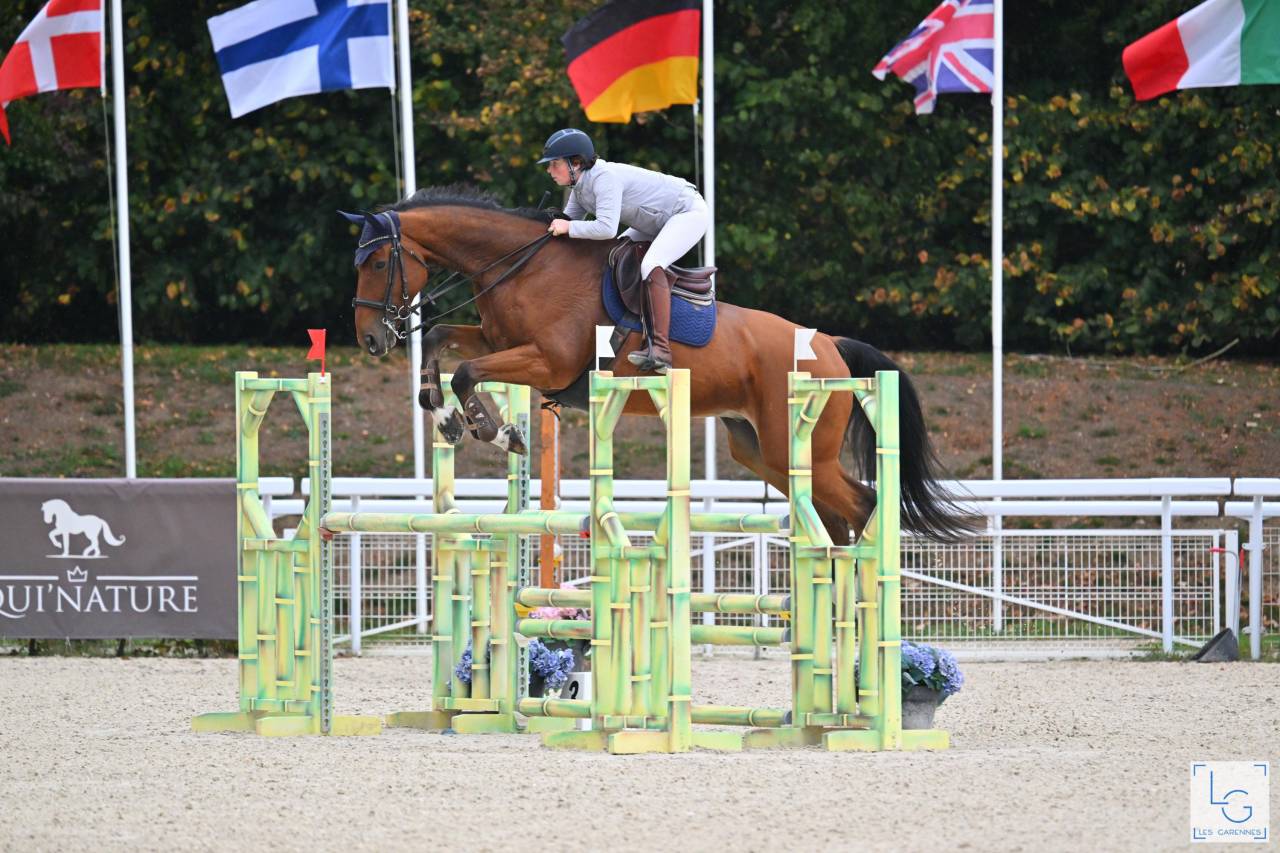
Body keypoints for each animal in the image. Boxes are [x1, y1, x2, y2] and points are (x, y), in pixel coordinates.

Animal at [344, 186, 971, 545]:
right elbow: (443, 341)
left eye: (376, 263)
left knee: (863, 504)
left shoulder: (546, 363)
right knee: (835, 516)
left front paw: (496, 431)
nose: (371, 339)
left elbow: (467, 372)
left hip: (799, 448)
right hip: (763, 450)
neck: (519, 265)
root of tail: (831, 347)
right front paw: (446, 415)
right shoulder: (498, 340)